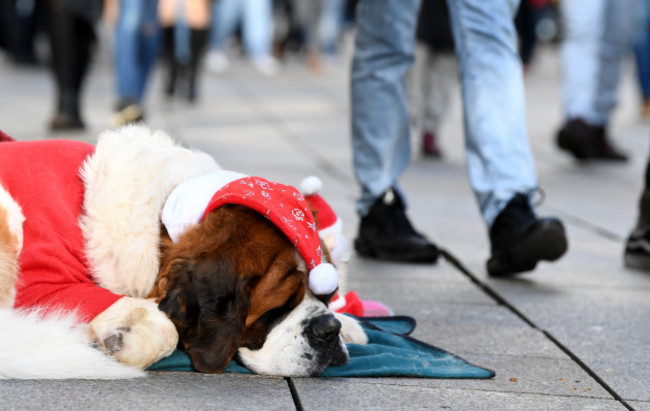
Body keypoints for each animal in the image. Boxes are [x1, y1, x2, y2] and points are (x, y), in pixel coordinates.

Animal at [0, 125, 364, 380]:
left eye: (328, 295)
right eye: (278, 308)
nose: (328, 331)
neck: (161, 215)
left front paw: (350, 324)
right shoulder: (40, 280)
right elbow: (160, 326)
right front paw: (128, 342)